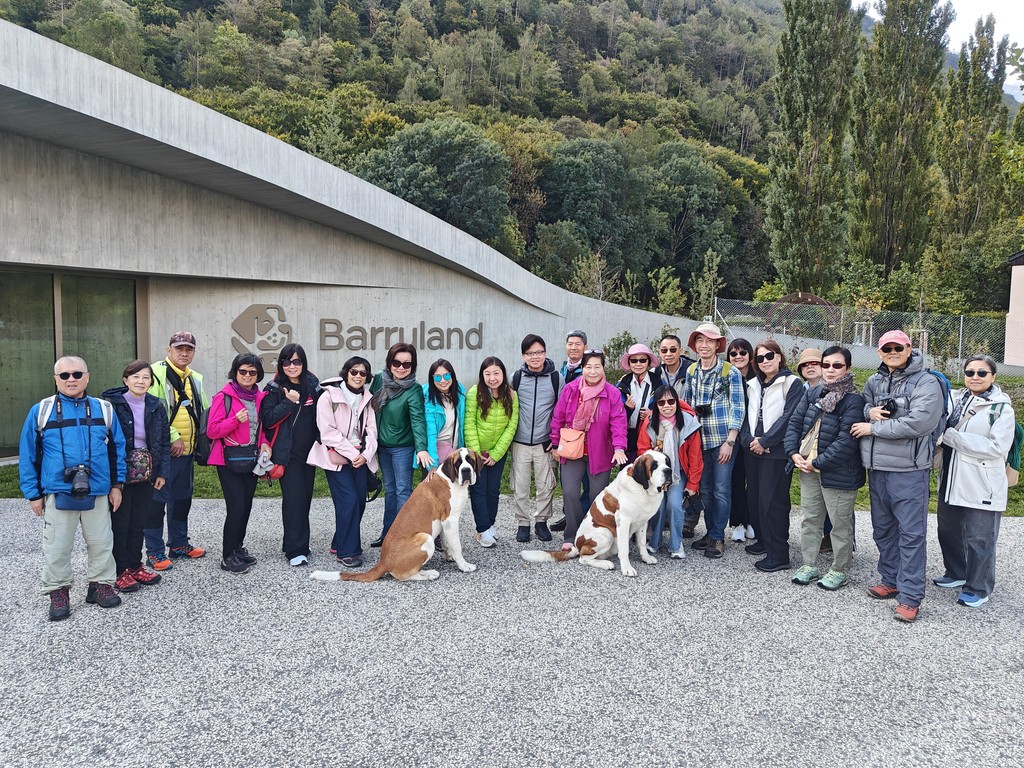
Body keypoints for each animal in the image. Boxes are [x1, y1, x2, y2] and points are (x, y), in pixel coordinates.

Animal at [310, 448, 484, 583]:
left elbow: (448, 543)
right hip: (425, 538)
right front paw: (464, 565)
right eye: (458, 463)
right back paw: (429, 575)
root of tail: (384, 562)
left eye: (470, 460)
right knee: (403, 575)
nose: (466, 471)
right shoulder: (450, 521)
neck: (450, 479)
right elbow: (457, 545)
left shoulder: (444, 523)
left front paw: (450, 557)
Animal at [520, 451, 673, 577]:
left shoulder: (643, 521)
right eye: (654, 465)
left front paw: (646, 558)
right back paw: (606, 564)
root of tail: (576, 545)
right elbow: (624, 549)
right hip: (606, 533)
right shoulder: (623, 523)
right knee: (583, 558)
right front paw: (627, 569)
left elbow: (641, 543)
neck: (643, 489)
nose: (669, 471)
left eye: (667, 462)